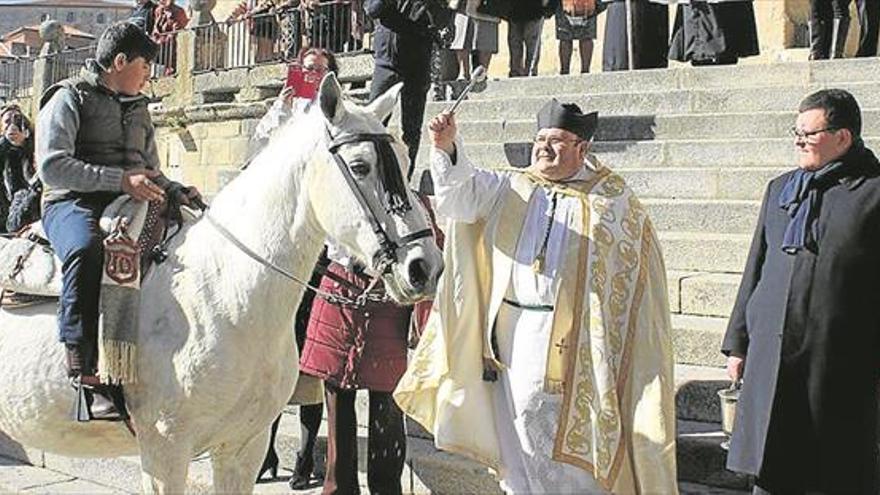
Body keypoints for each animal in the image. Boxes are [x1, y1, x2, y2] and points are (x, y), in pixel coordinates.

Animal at [0, 73, 444, 492]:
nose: (424, 267)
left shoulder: (244, 446)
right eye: (360, 166)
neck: (226, 291)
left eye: (404, 160)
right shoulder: (165, 449)